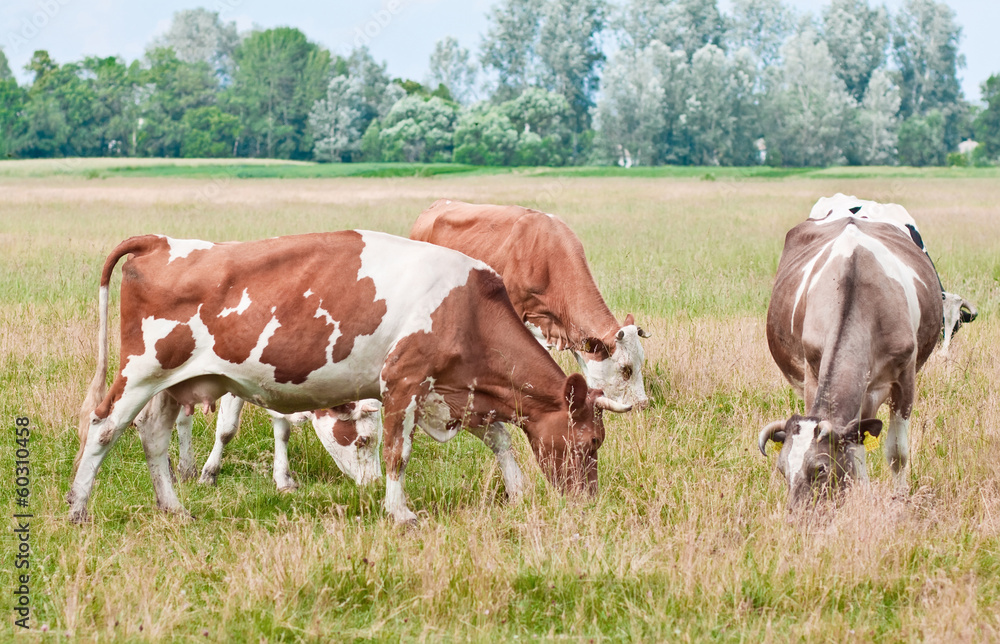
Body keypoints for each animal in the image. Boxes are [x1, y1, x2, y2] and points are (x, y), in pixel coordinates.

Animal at [156, 392, 382, 488]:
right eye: (363, 439)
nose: (376, 481)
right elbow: (226, 429)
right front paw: (209, 475)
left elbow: (282, 432)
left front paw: (283, 479)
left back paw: (185, 469)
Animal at [756, 195, 944, 508]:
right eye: (783, 469)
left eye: (820, 469)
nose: (797, 514)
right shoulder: (812, 374)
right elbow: (854, 450)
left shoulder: (905, 380)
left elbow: (897, 452)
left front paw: (900, 498)